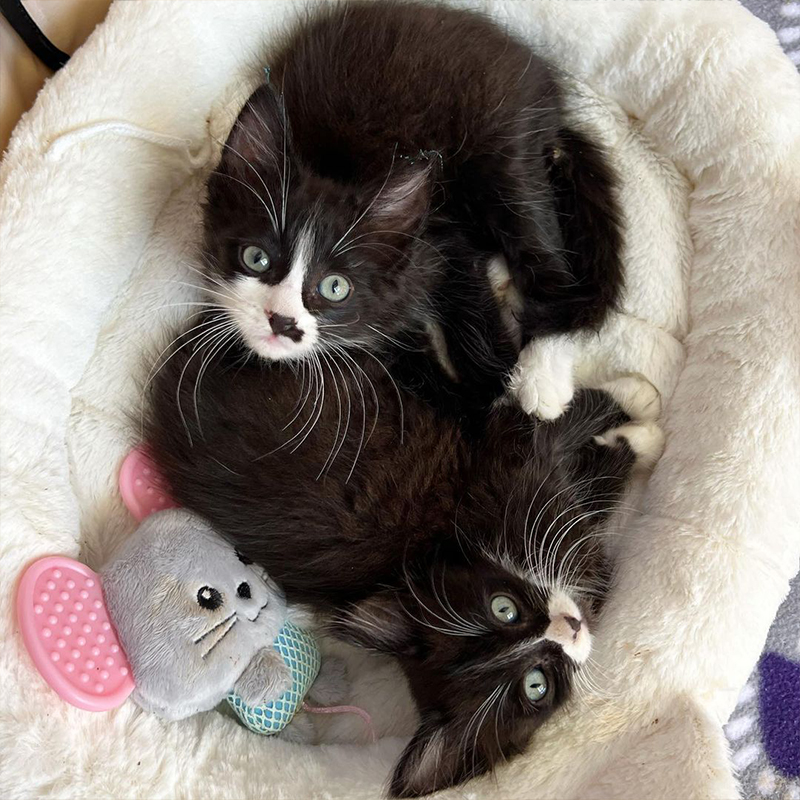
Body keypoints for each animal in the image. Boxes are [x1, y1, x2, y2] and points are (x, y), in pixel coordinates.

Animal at [145, 328, 664, 796]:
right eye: (536, 686)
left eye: (503, 608)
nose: (570, 627)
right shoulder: (525, 487)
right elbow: (586, 472)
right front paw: (645, 431)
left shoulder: (508, 474)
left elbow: (555, 430)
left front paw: (634, 394)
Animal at [202, 1, 624, 418]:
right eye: (256, 258)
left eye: (334, 287)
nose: (281, 320)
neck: (338, 170)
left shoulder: (441, 240)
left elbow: (471, 305)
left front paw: (496, 385)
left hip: (502, 144)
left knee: (542, 255)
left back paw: (541, 371)